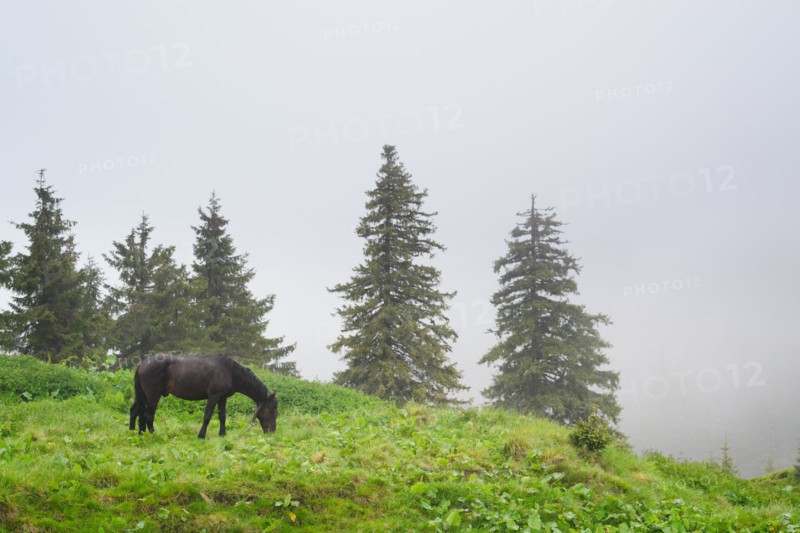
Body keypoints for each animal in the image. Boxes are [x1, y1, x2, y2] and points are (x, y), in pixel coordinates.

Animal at [129, 354, 277, 438]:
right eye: (271, 410)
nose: (272, 432)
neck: (229, 371)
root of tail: (142, 364)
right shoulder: (213, 396)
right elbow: (207, 416)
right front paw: (201, 435)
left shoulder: (222, 398)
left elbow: (222, 416)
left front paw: (222, 434)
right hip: (153, 396)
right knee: (148, 415)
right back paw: (152, 434)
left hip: (142, 396)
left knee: (136, 411)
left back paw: (137, 433)